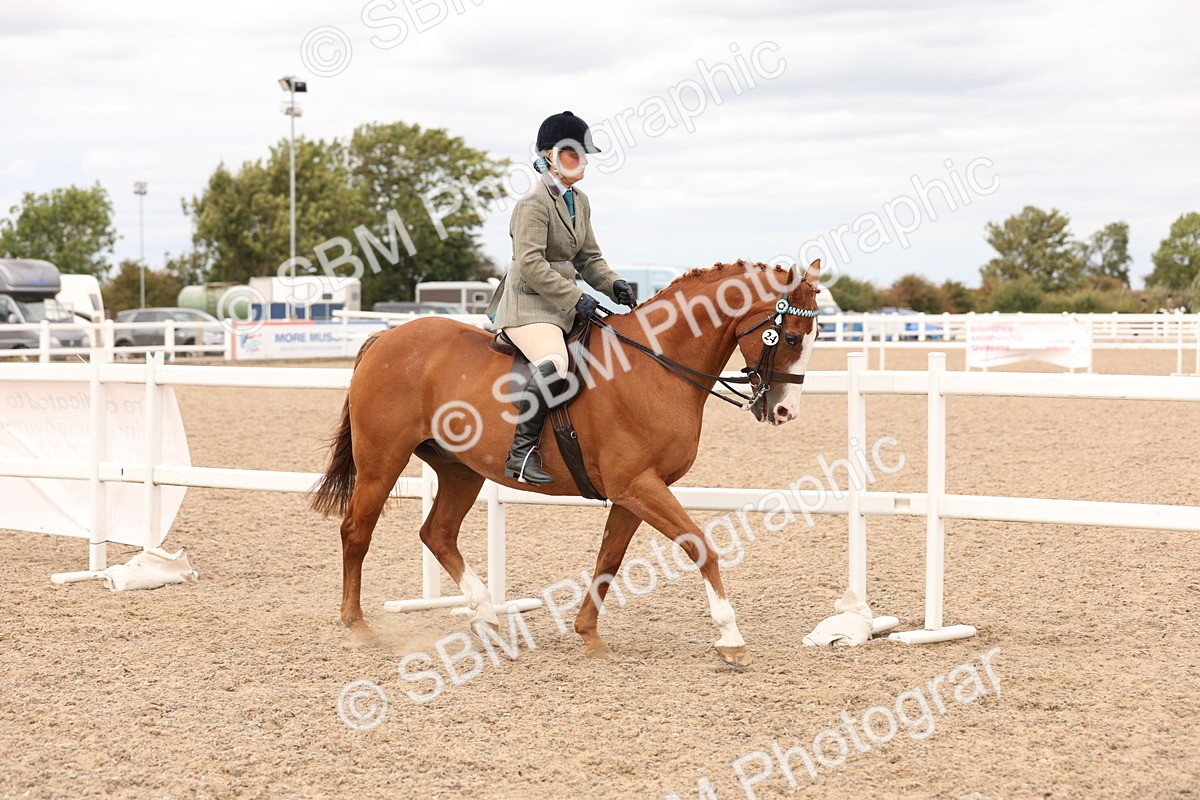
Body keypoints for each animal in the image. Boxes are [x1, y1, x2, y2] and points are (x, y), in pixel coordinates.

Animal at [310, 259, 822, 667]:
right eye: (791, 337)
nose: (784, 411)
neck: (655, 367)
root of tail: (386, 336)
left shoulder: (633, 490)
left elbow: (609, 558)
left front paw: (588, 633)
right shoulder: (638, 484)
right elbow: (701, 546)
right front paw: (731, 637)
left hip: (460, 471)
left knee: (437, 534)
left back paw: (488, 618)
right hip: (383, 460)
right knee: (357, 531)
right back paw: (357, 626)